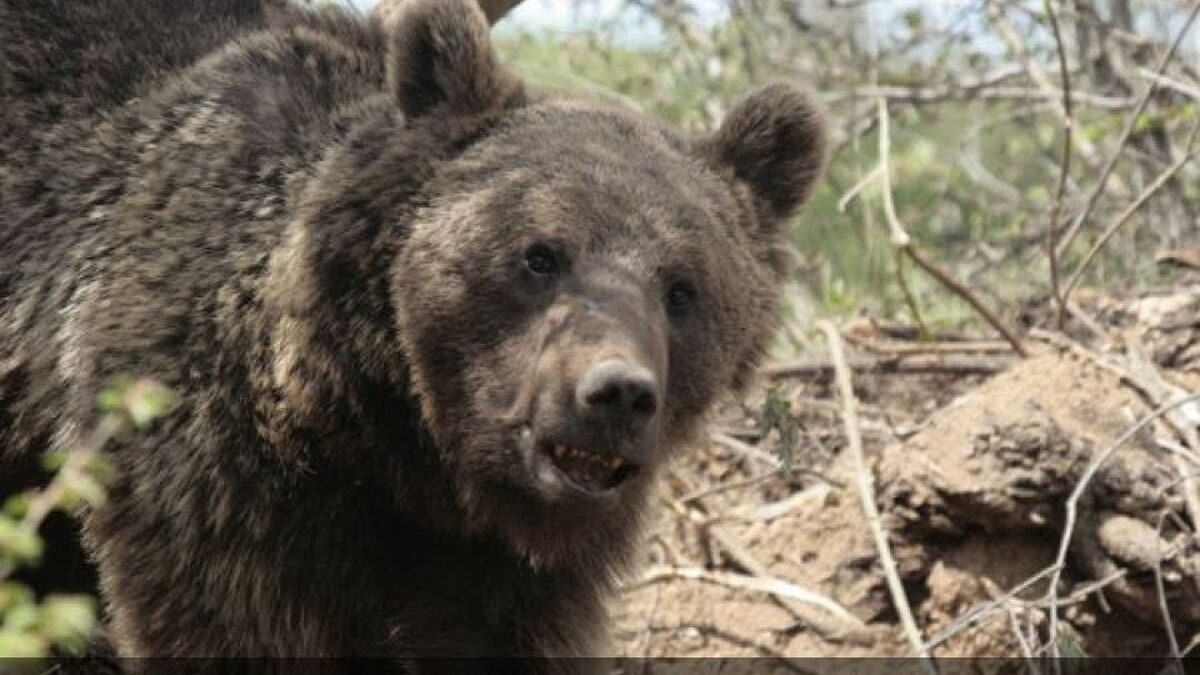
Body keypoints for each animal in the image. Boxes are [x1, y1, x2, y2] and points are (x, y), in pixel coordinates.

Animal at [0, 0, 825, 662]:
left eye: (683, 289)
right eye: (539, 254)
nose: (616, 393)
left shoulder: (505, 569)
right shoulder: (210, 484)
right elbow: (230, 624)